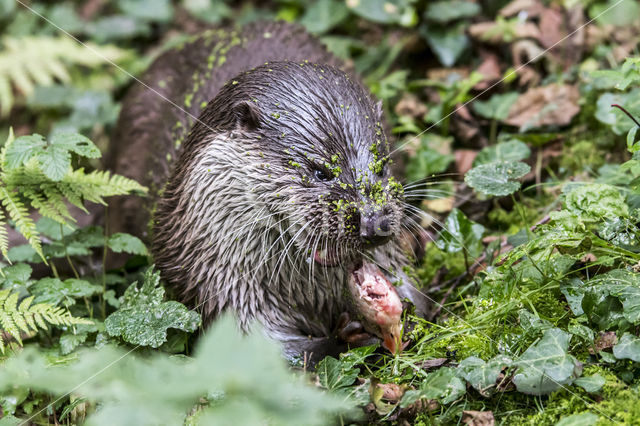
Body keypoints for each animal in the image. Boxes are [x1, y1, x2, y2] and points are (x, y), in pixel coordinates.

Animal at [112, 20, 428, 362]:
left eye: (381, 166)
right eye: (319, 171)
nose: (374, 221)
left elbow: (421, 303)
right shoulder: (217, 280)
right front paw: (345, 336)